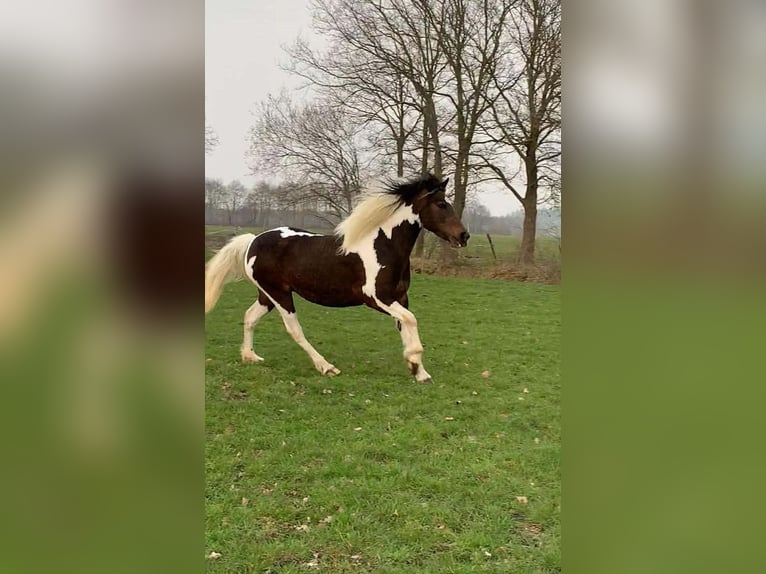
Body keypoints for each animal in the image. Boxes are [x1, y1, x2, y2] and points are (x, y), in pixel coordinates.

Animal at [204, 174, 470, 383]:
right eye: (441, 204)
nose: (464, 236)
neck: (384, 245)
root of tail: (252, 241)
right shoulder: (377, 298)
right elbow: (411, 320)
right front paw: (414, 362)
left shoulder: (400, 298)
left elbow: (405, 324)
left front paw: (419, 372)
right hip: (280, 295)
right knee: (294, 330)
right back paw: (327, 367)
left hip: (267, 295)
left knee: (250, 317)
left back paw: (250, 356)